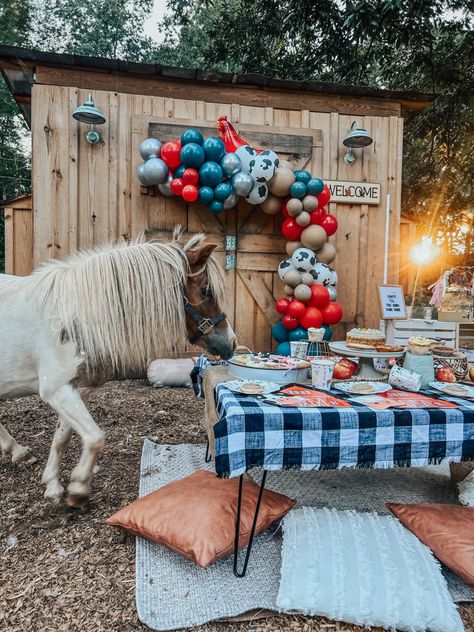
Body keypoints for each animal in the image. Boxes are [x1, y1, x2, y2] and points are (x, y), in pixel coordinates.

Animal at [0, 230, 236, 506]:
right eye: (206, 290)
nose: (232, 342)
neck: (72, 318)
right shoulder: (56, 391)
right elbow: (95, 438)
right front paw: (78, 487)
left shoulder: (77, 390)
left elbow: (62, 438)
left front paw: (54, 485)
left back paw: (18, 452)